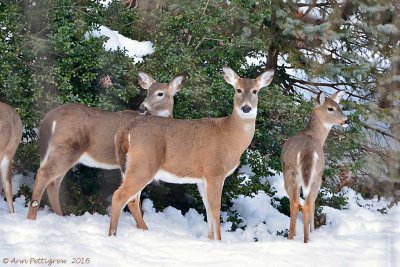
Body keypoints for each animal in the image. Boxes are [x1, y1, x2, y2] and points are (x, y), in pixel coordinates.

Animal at [26, 72, 186, 225]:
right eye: (147, 92)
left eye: (160, 93)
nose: (142, 107)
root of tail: (48, 119)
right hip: (67, 147)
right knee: (43, 174)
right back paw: (32, 218)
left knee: (53, 183)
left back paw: (60, 216)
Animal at [109, 67, 276, 241]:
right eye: (238, 90)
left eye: (255, 91)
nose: (246, 108)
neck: (230, 136)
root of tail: (127, 129)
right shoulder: (215, 172)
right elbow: (215, 210)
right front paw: (219, 241)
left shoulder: (202, 179)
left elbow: (207, 209)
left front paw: (209, 239)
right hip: (143, 163)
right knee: (119, 195)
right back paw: (113, 235)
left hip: (131, 166)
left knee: (132, 199)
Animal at [280, 91, 348, 244]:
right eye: (330, 108)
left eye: (339, 106)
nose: (346, 120)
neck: (315, 136)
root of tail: (307, 151)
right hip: (315, 176)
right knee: (306, 204)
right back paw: (307, 239)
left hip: (292, 173)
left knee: (296, 203)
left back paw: (293, 237)